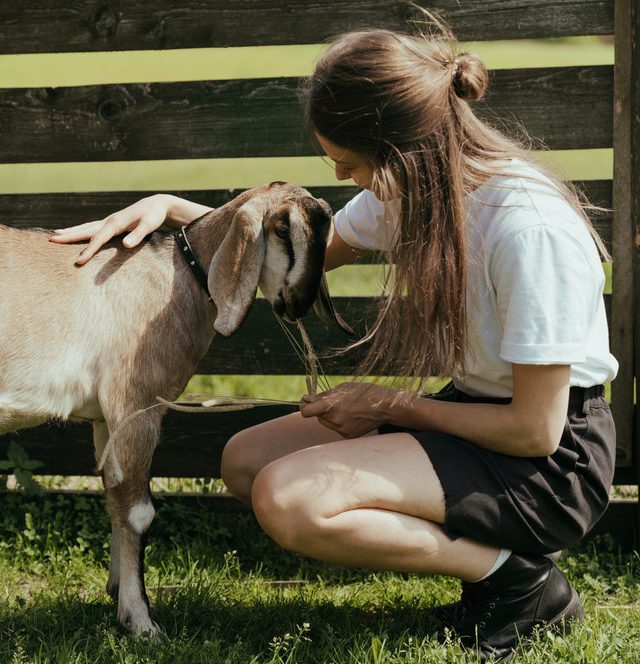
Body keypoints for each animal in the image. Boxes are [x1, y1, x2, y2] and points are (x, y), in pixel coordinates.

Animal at [0, 182, 344, 640]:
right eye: (284, 231)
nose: (298, 304)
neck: (175, 275)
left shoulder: (107, 419)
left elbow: (115, 498)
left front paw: (117, 591)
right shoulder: (137, 404)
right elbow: (139, 512)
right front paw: (141, 621)